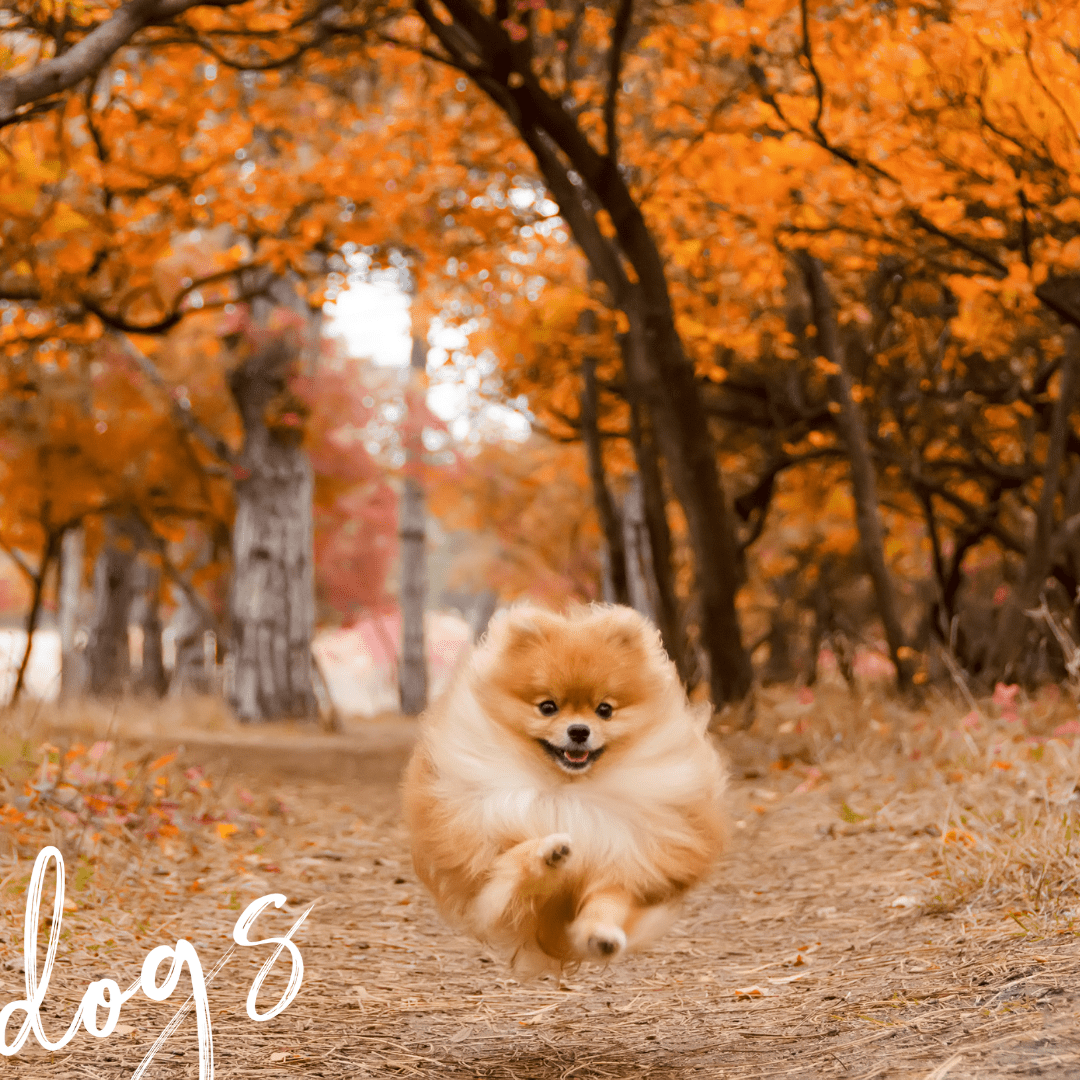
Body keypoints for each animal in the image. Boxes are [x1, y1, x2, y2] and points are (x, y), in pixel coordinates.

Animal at [403, 604, 725, 976]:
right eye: (547, 707)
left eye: (605, 710)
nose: (579, 730)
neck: (567, 791)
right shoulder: (485, 873)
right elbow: (514, 860)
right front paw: (549, 852)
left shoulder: (623, 858)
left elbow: (607, 903)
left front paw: (601, 935)